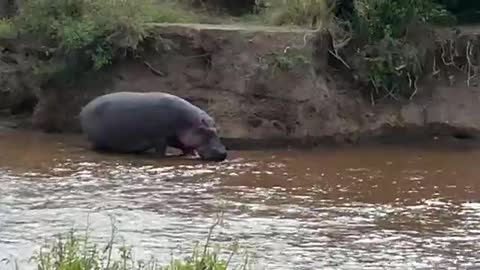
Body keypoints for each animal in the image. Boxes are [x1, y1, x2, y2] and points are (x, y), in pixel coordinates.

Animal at [79, 92, 229, 161]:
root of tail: (84, 108)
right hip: (95, 140)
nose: (223, 153)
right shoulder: (160, 139)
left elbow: (187, 148)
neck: (189, 122)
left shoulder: (180, 139)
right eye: (207, 131)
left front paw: (190, 155)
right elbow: (160, 151)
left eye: (218, 130)